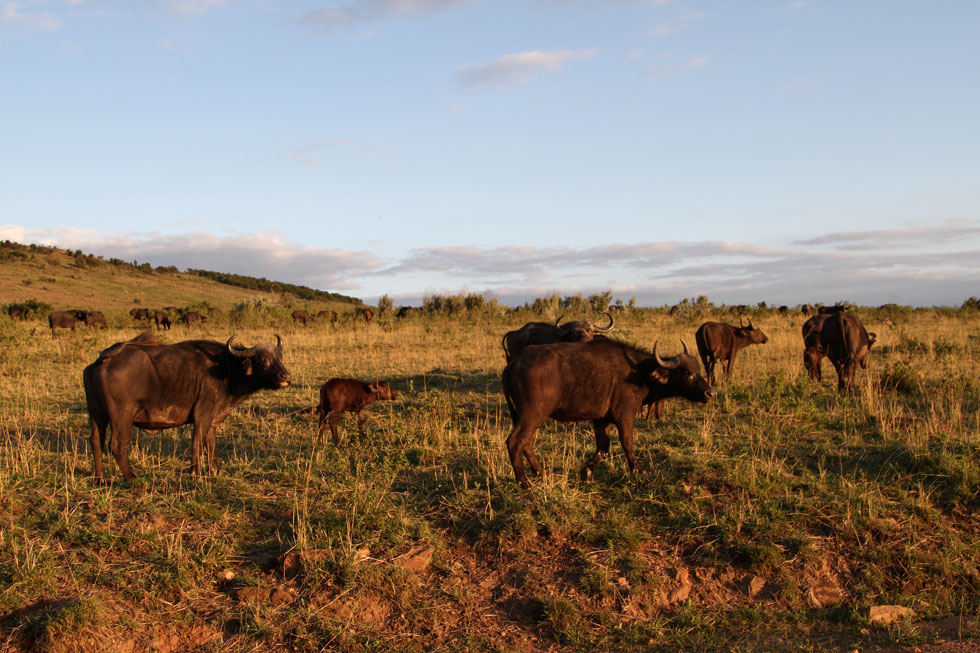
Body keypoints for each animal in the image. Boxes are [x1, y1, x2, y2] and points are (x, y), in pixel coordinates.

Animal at [83, 332, 290, 478]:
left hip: (96, 414)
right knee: (117, 444)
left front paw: (214, 470)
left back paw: (100, 478)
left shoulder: (212, 420)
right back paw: (131, 477)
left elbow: (210, 444)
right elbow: (197, 443)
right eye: (263, 360)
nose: (286, 377)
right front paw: (195, 473)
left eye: (280, 359)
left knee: (96, 441)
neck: (224, 369)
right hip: (122, 416)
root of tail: (104, 359)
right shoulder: (202, 416)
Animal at [502, 338, 716, 486]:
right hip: (533, 413)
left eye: (698, 370)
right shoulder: (624, 415)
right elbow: (627, 442)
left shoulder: (600, 419)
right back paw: (524, 482)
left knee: (527, 442)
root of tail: (517, 361)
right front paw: (638, 470)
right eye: (687, 373)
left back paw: (541, 473)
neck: (640, 373)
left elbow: (603, 445)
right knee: (515, 441)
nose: (710, 393)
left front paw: (587, 472)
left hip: (532, 416)